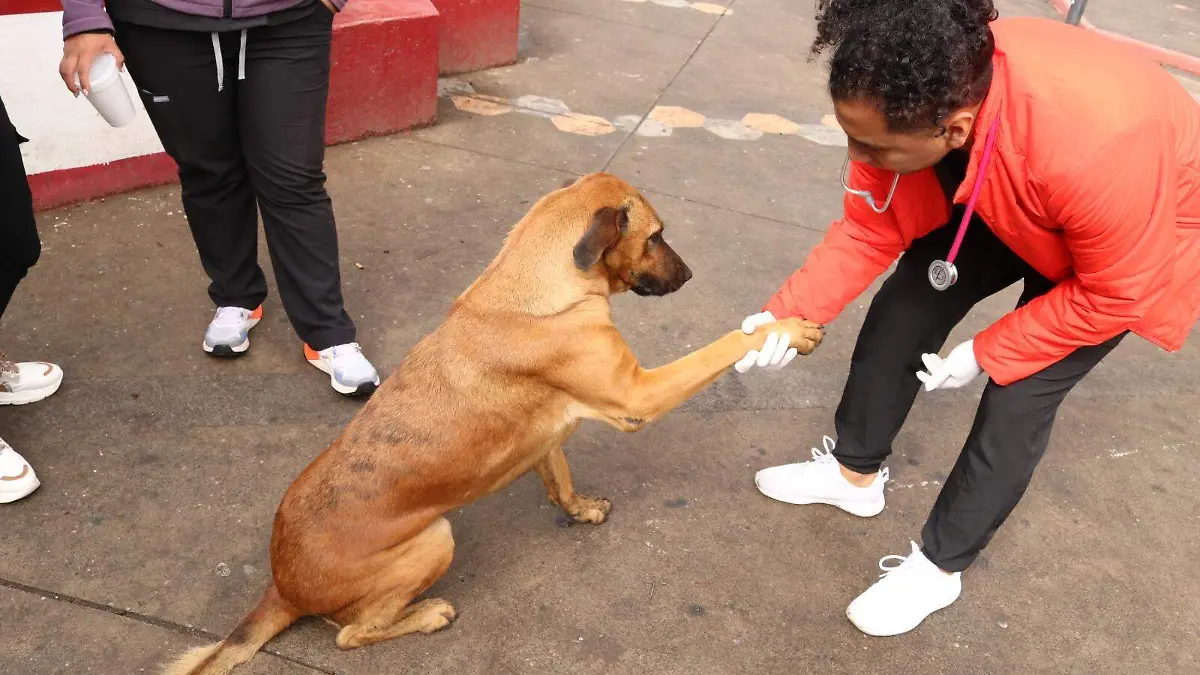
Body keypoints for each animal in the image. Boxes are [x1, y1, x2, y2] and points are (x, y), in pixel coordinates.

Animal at [166, 170, 825, 667]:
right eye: (658, 236)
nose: (689, 275)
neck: (540, 287)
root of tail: (281, 585)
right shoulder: (637, 396)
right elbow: (724, 345)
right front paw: (786, 330)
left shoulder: (549, 433)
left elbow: (559, 478)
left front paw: (579, 508)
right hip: (435, 538)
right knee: (352, 633)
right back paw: (427, 614)